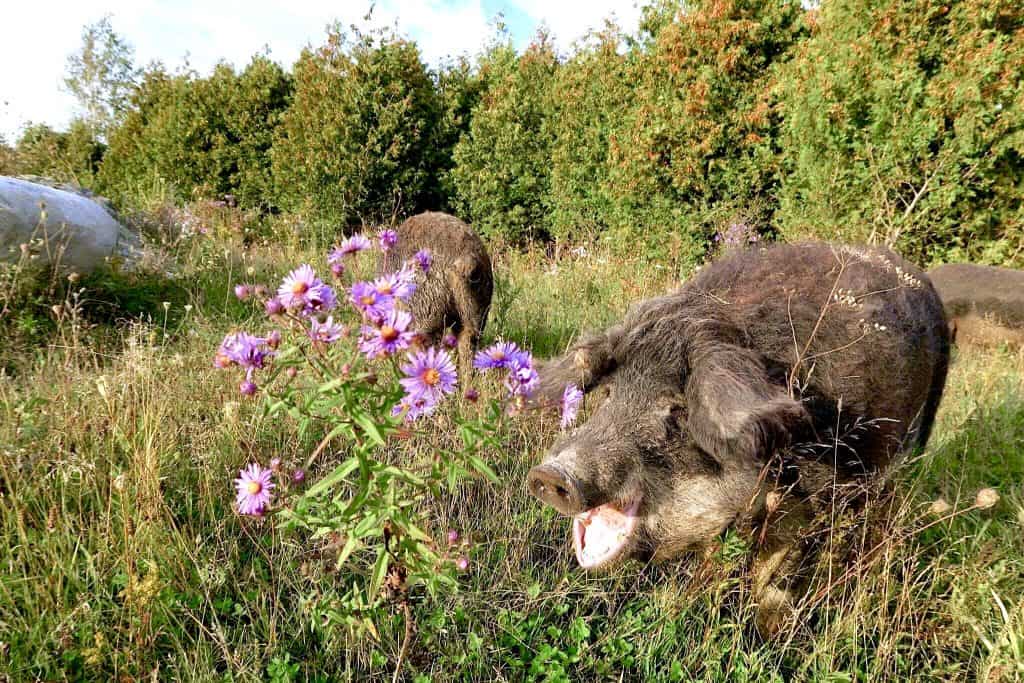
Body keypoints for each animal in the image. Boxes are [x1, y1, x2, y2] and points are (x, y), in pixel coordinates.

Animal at [528, 242, 950, 634]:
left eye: (678, 409)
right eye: (611, 393)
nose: (552, 475)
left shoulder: (823, 496)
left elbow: (778, 575)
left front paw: (768, 634)